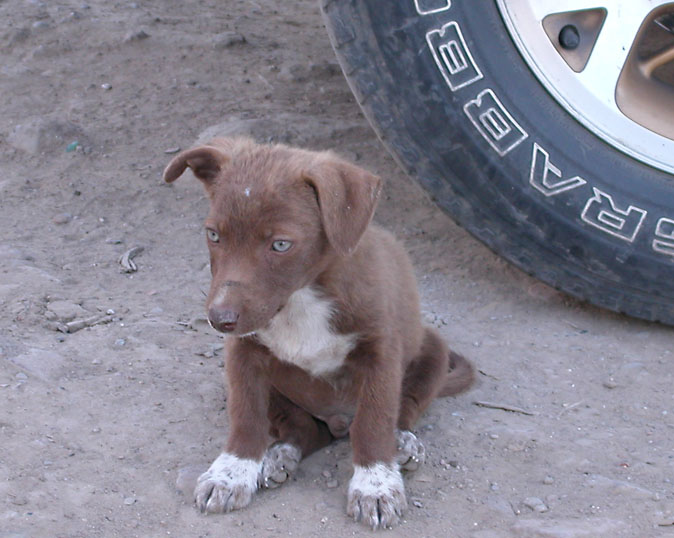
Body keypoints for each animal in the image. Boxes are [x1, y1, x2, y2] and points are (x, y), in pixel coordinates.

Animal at [161, 136, 472, 524]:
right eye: (213, 234)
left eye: (280, 244)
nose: (220, 320)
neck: (301, 298)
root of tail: (337, 423)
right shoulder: (243, 353)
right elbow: (246, 415)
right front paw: (231, 473)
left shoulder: (381, 351)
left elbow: (374, 420)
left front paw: (375, 485)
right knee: (302, 428)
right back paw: (280, 455)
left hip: (432, 349)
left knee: (403, 409)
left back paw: (402, 444)